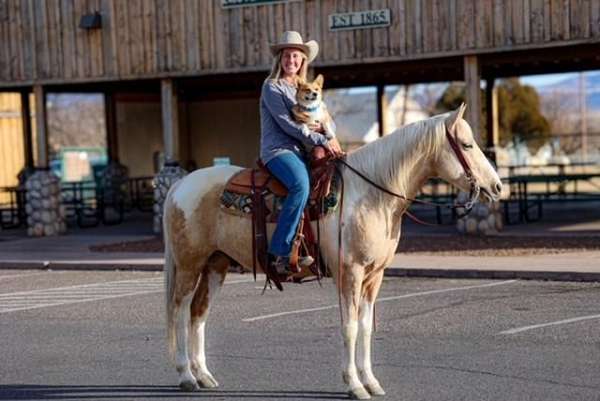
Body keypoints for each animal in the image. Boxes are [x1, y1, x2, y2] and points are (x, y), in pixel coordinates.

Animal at [163, 104, 502, 398]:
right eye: (466, 145)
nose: (497, 187)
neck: (370, 194)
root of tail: (179, 186)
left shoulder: (373, 276)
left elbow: (365, 328)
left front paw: (371, 382)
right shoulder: (349, 272)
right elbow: (349, 327)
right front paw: (354, 385)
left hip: (215, 265)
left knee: (198, 312)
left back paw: (204, 376)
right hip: (190, 265)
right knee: (179, 310)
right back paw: (185, 375)